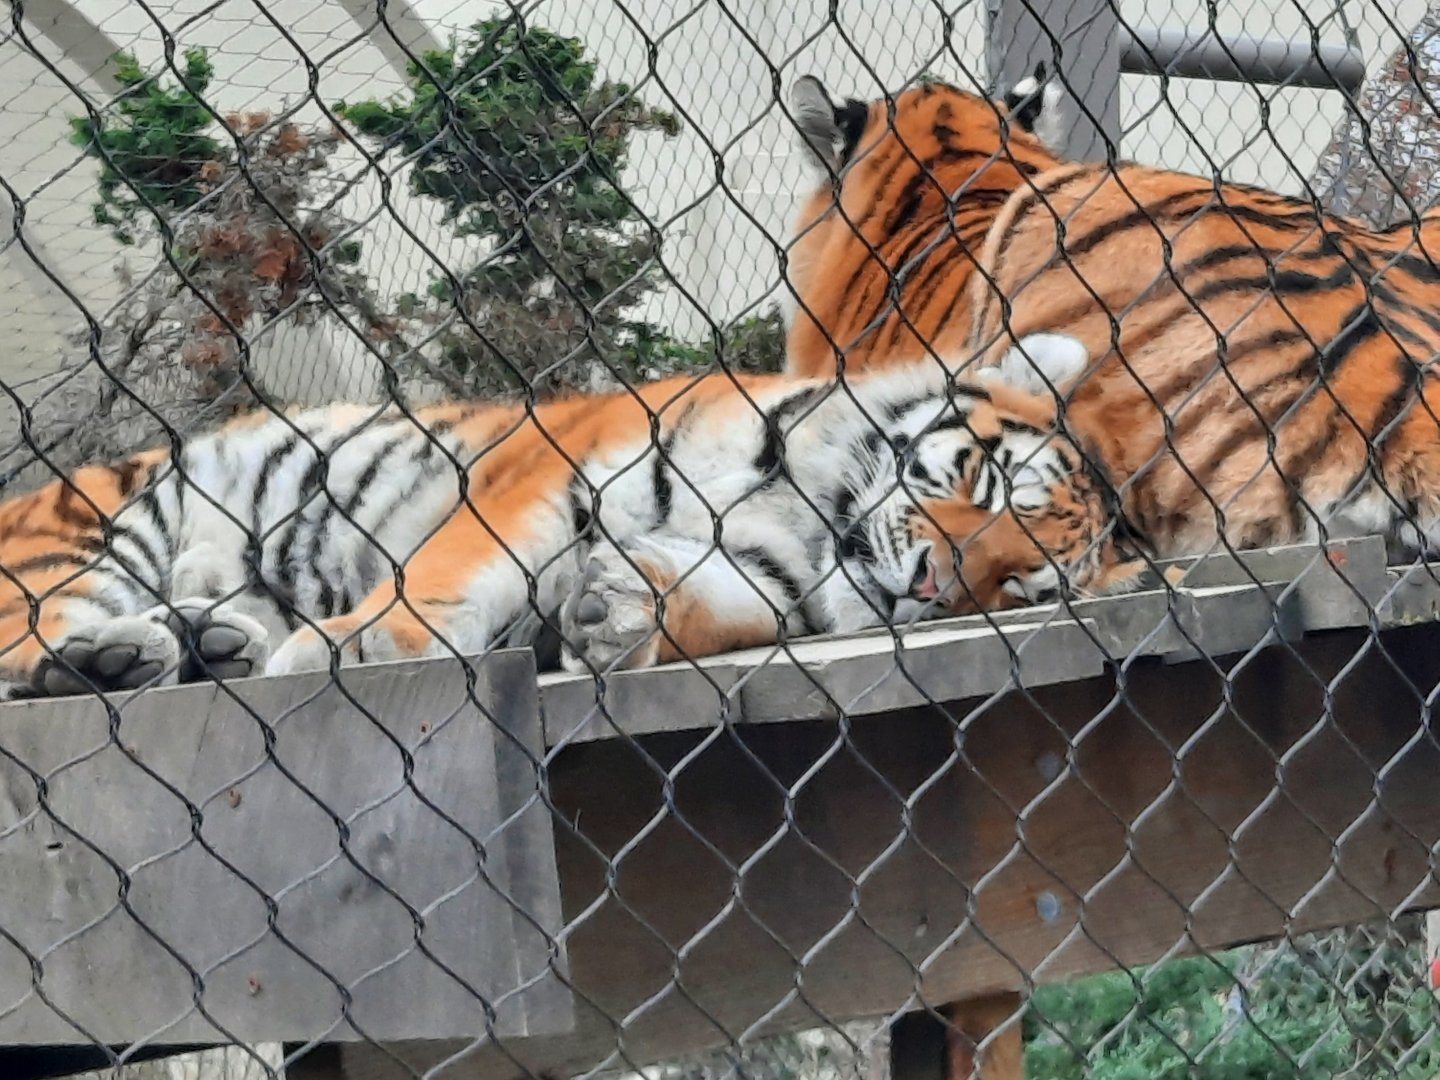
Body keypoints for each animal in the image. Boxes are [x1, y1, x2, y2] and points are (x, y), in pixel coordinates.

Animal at [0, 331, 1132, 700]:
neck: (807, 518)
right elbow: (457, 570)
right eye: (988, 484)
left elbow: (726, 606)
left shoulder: (770, 577)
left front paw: (618, 611)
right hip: (95, 530)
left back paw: (197, 643)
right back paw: (113, 659)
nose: (937, 585)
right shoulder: (537, 477)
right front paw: (368, 649)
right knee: (25, 639)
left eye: (1017, 587)